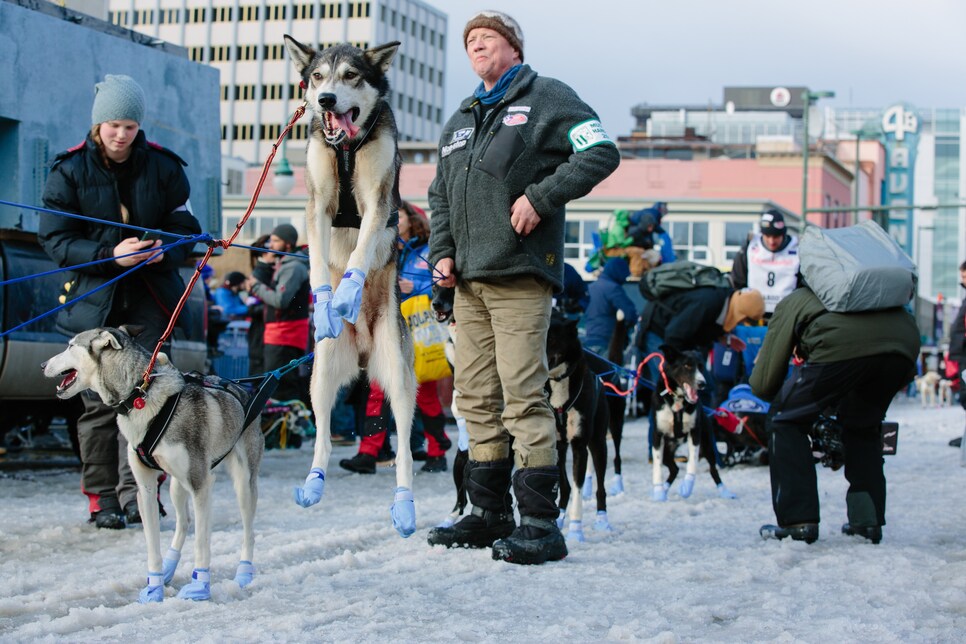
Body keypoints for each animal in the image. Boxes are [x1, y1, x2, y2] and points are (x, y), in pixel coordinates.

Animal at [42, 328, 264, 604]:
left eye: (71, 346)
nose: (42, 365)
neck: (139, 395)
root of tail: (243, 389)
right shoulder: (146, 489)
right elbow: (152, 544)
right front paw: (155, 586)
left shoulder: (201, 485)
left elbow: (202, 542)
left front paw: (200, 586)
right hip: (177, 486)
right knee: (184, 522)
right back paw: (170, 566)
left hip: (242, 483)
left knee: (248, 531)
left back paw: (244, 573)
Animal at [280, 36, 416, 540]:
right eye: (318, 76)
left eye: (351, 76)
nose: (325, 101)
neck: (349, 147)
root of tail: (360, 351)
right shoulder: (317, 204)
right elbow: (320, 262)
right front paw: (326, 302)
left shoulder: (378, 202)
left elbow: (360, 253)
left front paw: (346, 294)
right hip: (319, 375)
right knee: (320, 433)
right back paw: (313, 482)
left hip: (399, 375)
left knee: (405, 446)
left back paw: (405, 504)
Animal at [548, 314, 616, 540]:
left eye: (551, 338)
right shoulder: (554, 445)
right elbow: (564, 486)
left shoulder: (579, 446)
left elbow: (578, 491)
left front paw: (576, 530)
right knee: (565, 487)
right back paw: (560, 517)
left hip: (598, 444)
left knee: (600, 488)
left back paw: (602, 520)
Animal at [656, 344, 736, 500]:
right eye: (687, 365)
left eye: (701, 366)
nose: (702, 384)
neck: (678, 402)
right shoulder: (657, 435)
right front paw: (658, 491)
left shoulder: (695, 433)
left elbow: (692, 462)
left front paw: (688, 484)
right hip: (667, 452)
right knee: (674, 468)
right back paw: (664, 489)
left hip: (708, 446)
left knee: (713, 470)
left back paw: (725, 491)